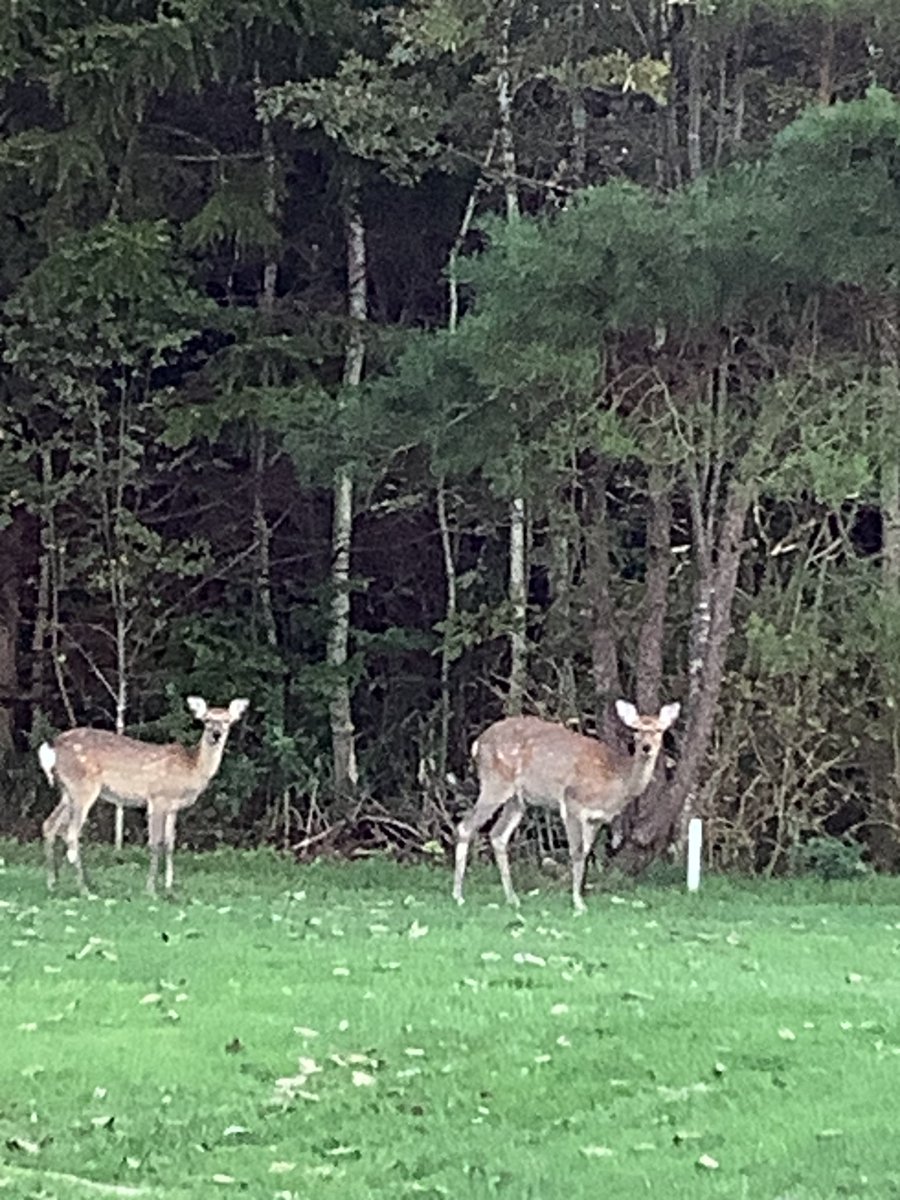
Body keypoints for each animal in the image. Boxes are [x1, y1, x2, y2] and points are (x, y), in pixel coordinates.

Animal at [38, 696, 249, 896]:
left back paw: (52, 883)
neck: (191, 769)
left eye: (228, 720)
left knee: (50, 824)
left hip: (67, 791)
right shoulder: (158, 797)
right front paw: (151, 890)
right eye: (206, 720)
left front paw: (169, 887)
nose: (216, 734)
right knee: (71, 833)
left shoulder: (173, 807)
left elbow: (170, 844)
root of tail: (52, 747)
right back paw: (84, 889)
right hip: (83, 786)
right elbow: (155, 843)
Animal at [452, 699, 680, 912]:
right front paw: (578, 903)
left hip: (517, 799)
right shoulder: (572, 802)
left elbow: (587, 851)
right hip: (495, 783)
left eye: (659, 730)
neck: (616, 780)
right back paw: (458, 896)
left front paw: (579, 897)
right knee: (466, 826)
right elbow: (577, 851)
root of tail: (477, 743)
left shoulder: (596, 818)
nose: (646, 747)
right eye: (636, 730)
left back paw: (512, 898)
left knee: (498, 835)